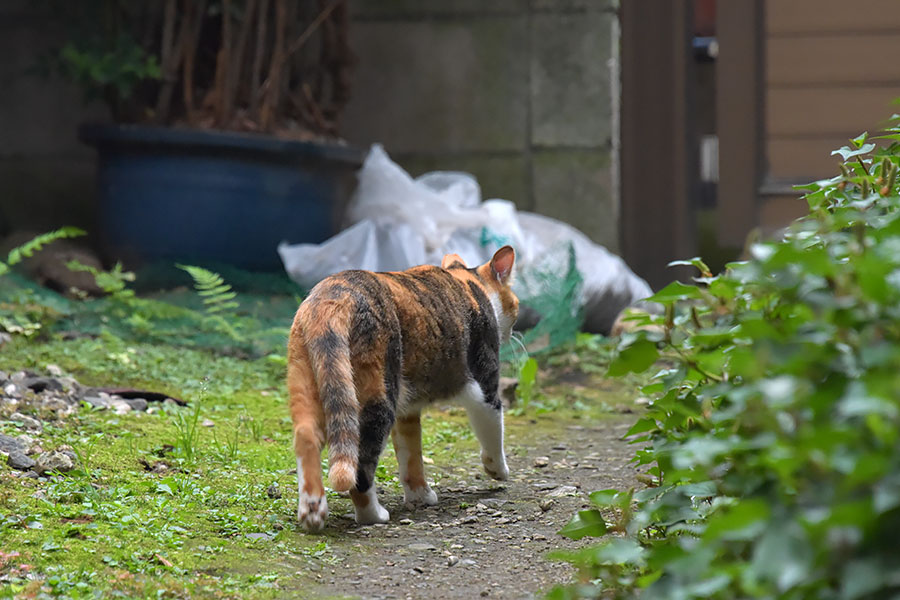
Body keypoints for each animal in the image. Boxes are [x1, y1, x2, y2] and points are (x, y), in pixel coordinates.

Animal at [284, 246, 516, 532]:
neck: (471, 283)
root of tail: (332, 297)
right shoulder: (485, 386)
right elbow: (493, 432)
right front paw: (498, 470)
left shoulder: (408, 411)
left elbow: (411, 453)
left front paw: (420, 496)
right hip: (378, 394)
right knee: (360, 469)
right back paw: (373, 514)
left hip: (307, 380)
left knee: (307, 436)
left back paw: (312, 511)